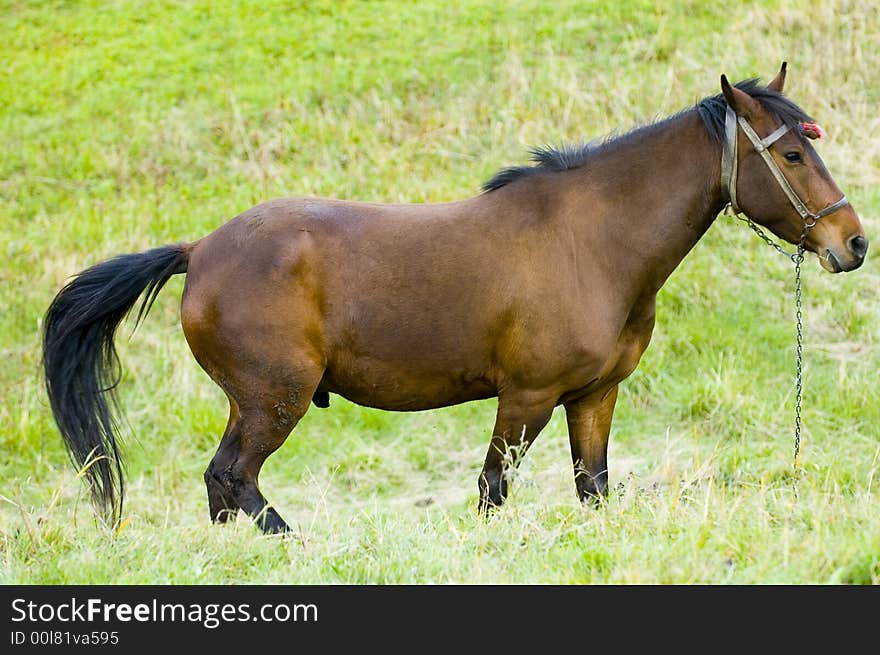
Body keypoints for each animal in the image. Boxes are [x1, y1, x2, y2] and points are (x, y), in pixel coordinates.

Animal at [43, 62, 868, 532]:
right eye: (793, 153)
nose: (853, 241)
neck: (593, 240)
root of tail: (200, 251)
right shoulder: (526, 398)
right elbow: (491, 491)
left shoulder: (593, 396)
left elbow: (593, 488)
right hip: (272, 400)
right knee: (233, 479)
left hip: (253, 402)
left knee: (222, 488)